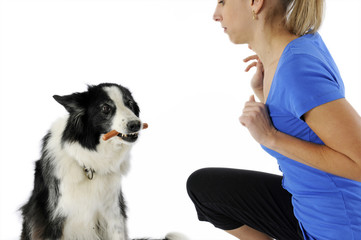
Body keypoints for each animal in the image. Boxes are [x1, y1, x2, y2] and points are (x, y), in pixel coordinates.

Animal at [20, 83, 183, 240]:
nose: (136, 124)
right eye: (105, 108)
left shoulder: (113, 213)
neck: (89, 164)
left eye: (129, 103)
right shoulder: (52, 218)